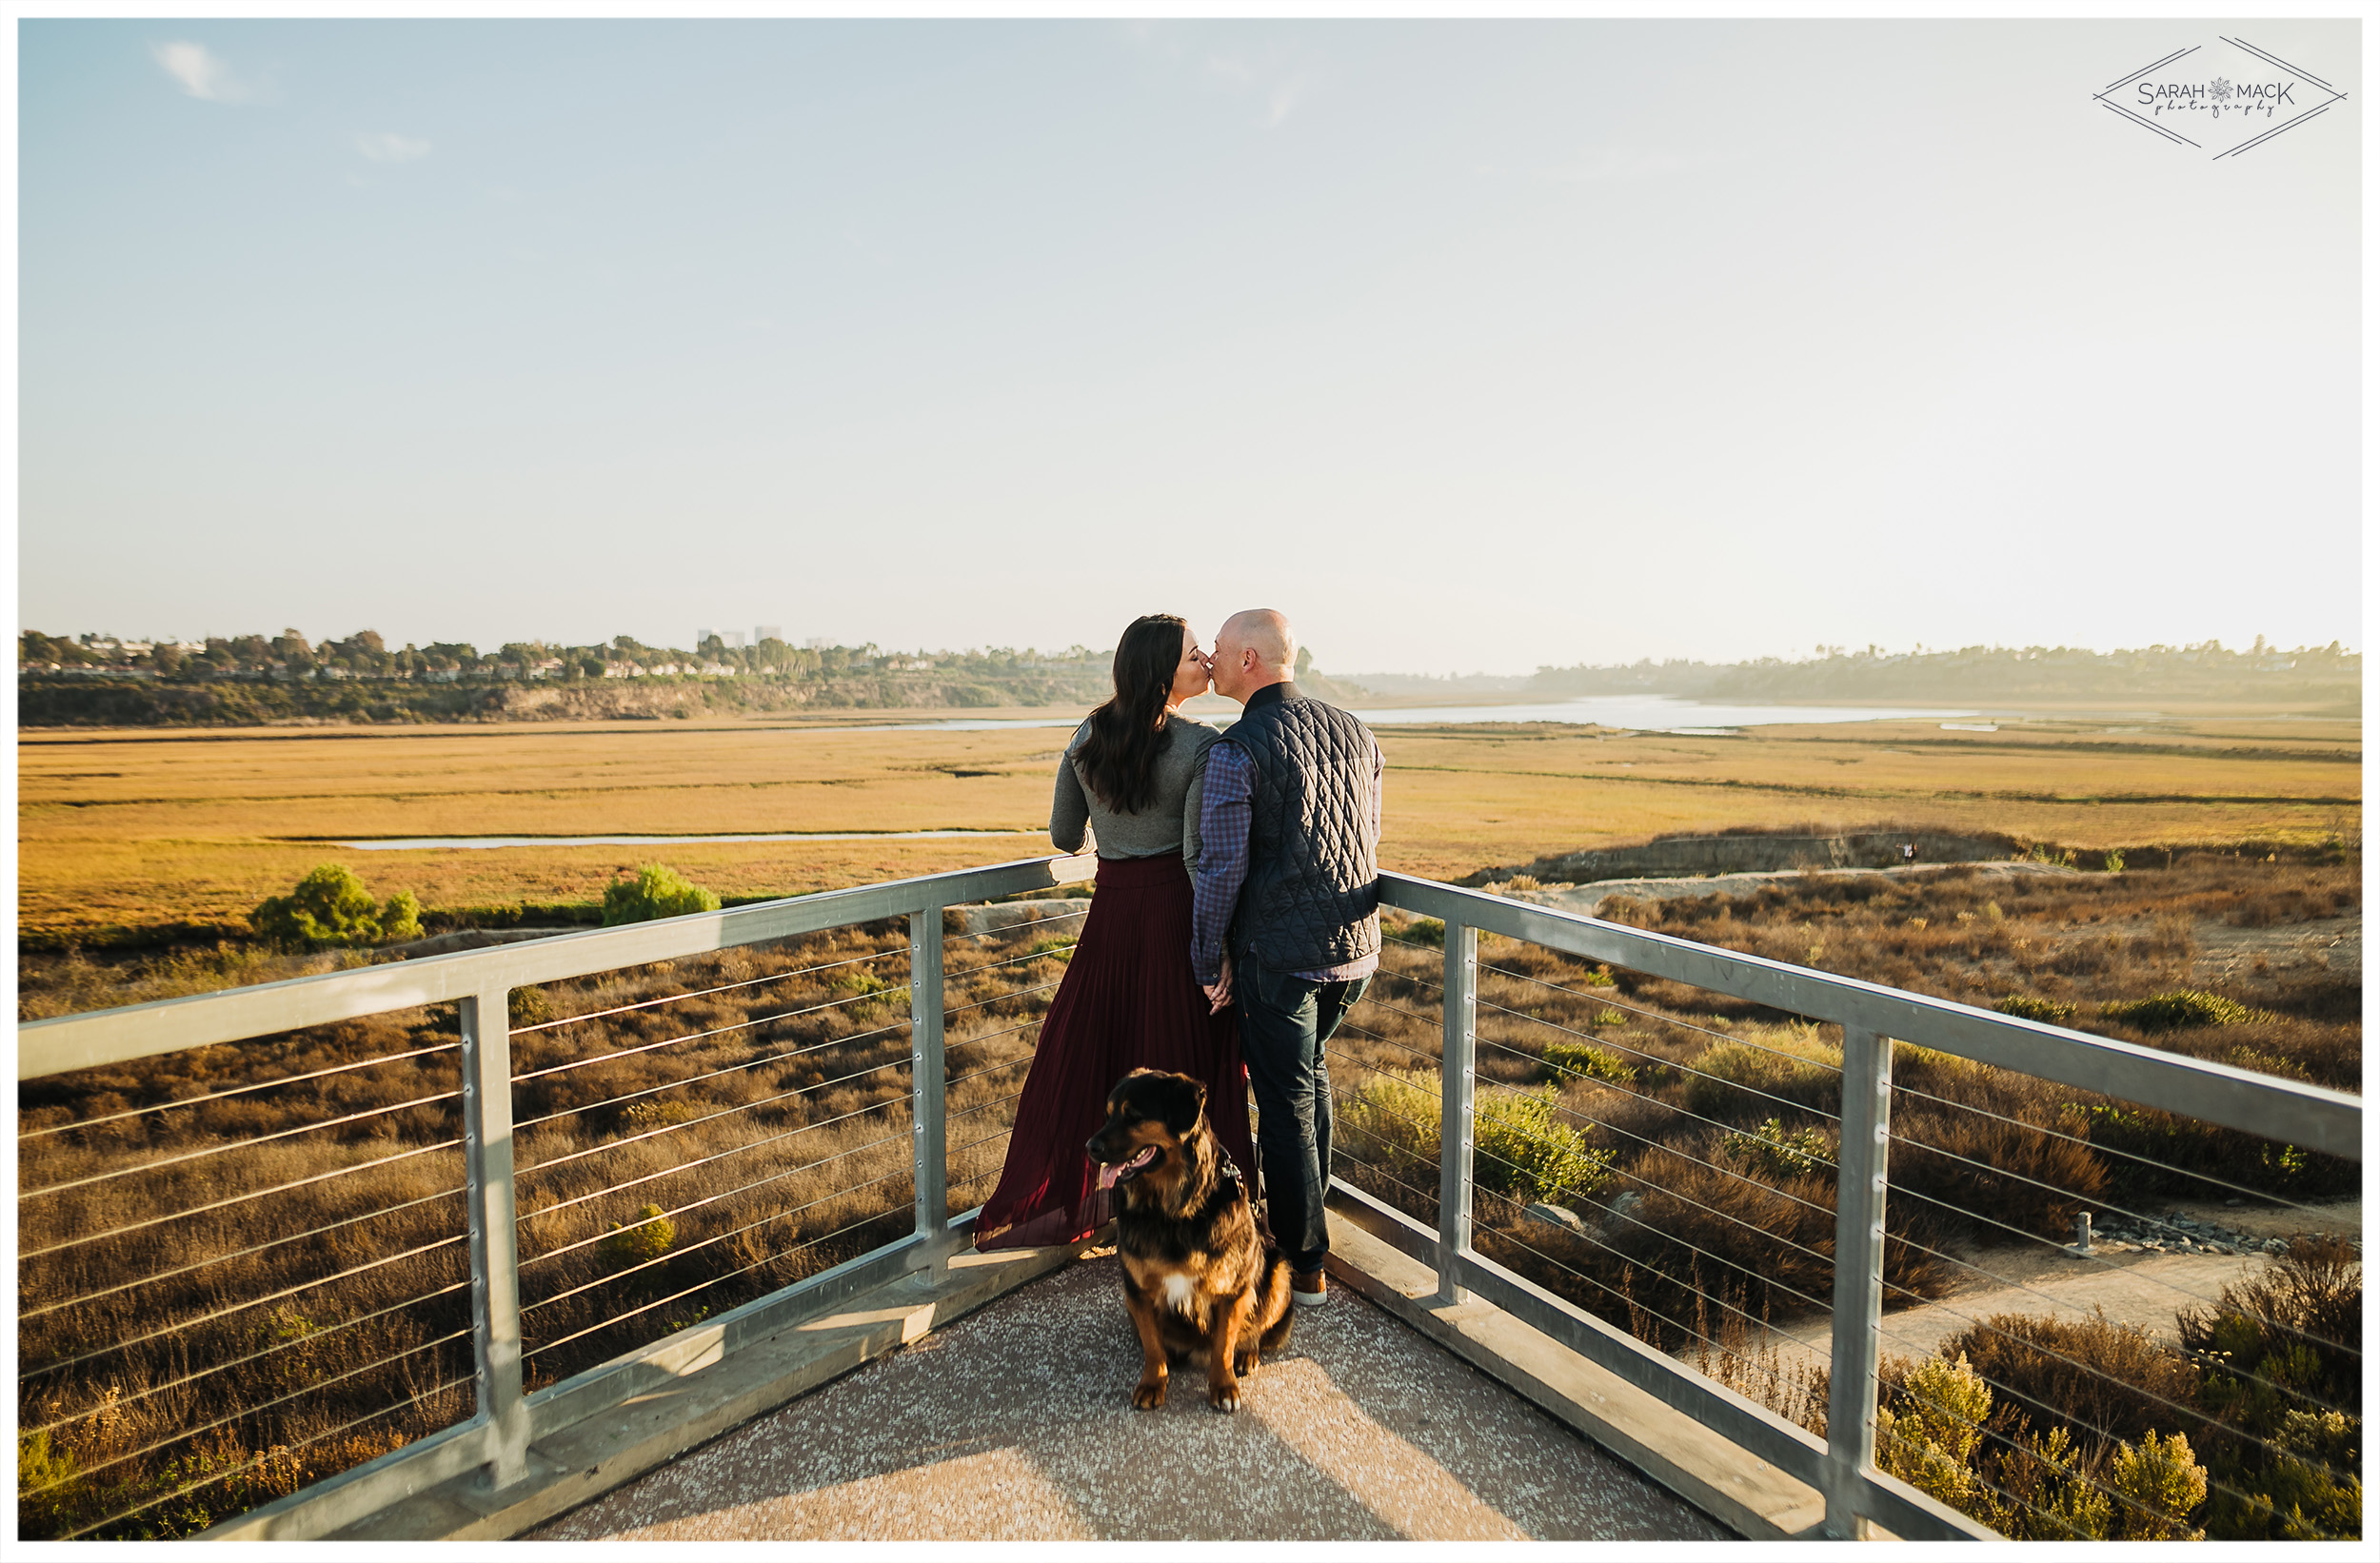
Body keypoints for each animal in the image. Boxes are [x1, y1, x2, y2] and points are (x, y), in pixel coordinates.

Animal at [1090, 1065, 1295, 1408]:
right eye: (1108, 1115)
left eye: (1133, 1115)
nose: (1090, 1148)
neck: (1172, 1210)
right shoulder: (1137, 1291)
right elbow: (1152, 1345)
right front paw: (1153, 1382)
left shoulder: (1233, 1290)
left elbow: (1224, 1344)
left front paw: (1223, 1387)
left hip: (1278, 1271)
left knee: (1255, 1326)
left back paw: (1247, 1354)